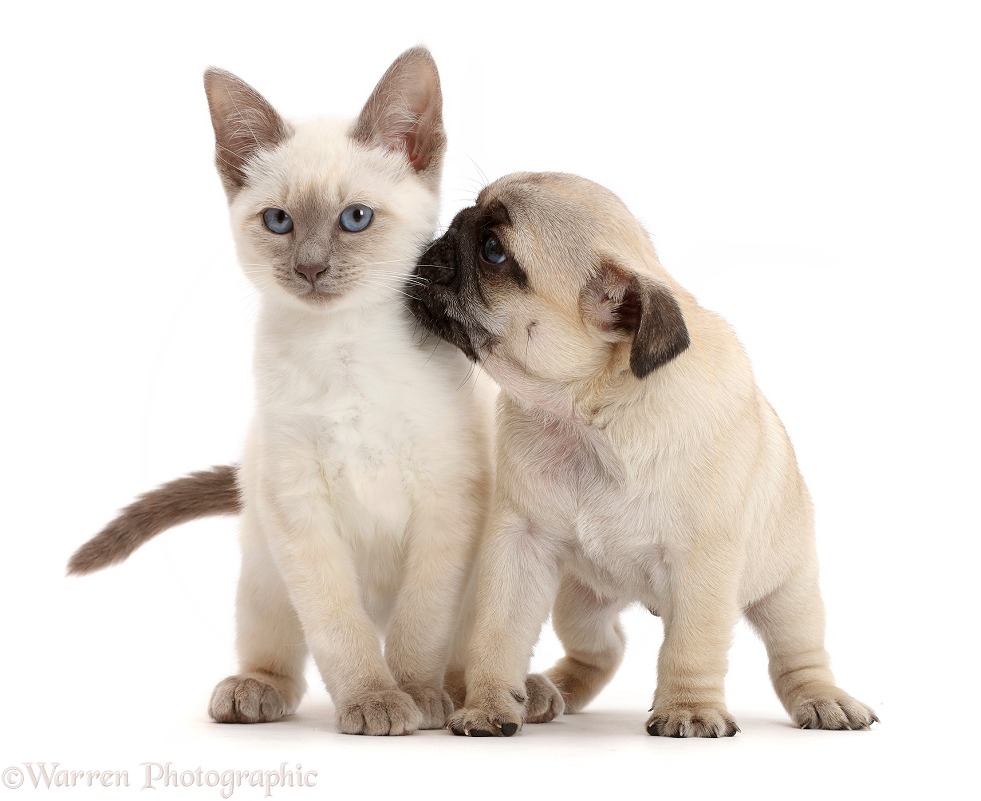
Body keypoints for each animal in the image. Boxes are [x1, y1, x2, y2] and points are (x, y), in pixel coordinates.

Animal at [69, 47, 498, 736]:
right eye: (278, 222)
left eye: (355, 219)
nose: (311, 268)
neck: (346, 349)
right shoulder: (299, 504)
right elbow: (338, 626)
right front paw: (375, 700)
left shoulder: (447, 500)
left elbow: (420, 625)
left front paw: (414, 694)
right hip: (265, 562)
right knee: (279, 649)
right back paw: (252, 691)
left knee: (459, 648)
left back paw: (480, 694)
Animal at [410, 172, 876, 736]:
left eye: (494, 251)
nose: (450, 227)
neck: (587, 418)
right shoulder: (521, 545)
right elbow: (497, 635)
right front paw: (490, 703)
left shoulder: (703, 567)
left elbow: (691, 647)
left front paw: (690, 709)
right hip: (580, 602)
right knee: (603, 648)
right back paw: (549, 690)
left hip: (788, 591)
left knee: (798, 653)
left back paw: (823, 699)